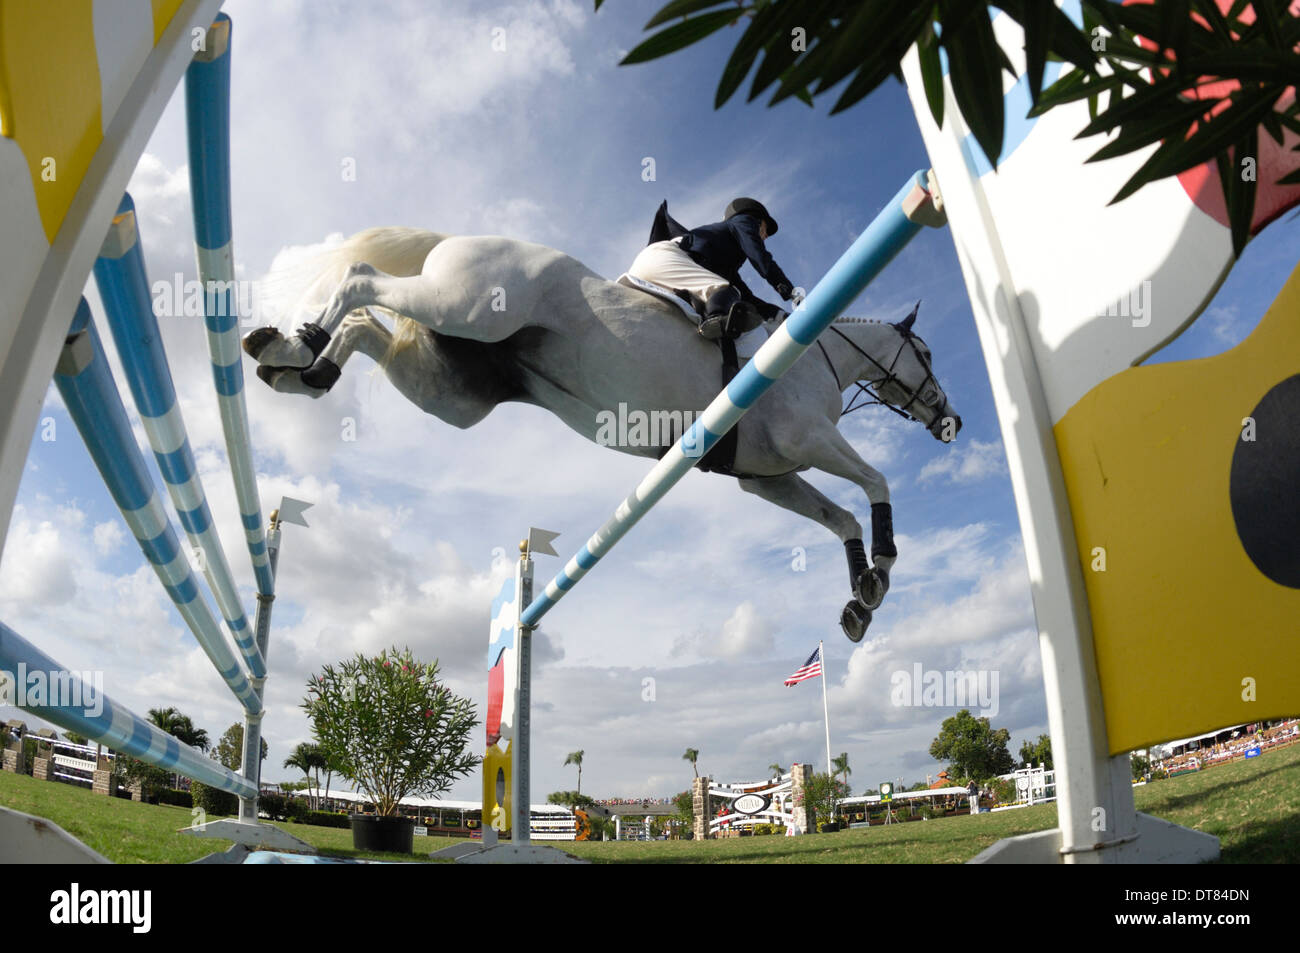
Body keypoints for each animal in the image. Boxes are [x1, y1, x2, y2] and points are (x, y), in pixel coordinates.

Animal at [244, 227, 961, 639]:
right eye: (926, 354)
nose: (950, 421)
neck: (820, 357)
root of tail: (456, 239)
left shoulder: (768, 477)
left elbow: (841, 517)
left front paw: (861, 600)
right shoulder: (809, 440)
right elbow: (875, 482)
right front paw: (882, 569)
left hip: (449, 388)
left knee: (365, 326)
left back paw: (299, 367)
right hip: (466, 306)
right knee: (360, 278)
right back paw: (291, 344)